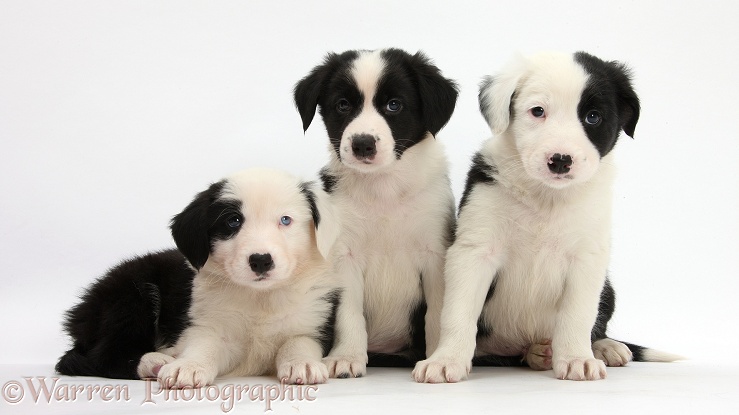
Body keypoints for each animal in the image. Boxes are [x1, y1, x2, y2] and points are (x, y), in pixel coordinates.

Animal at [58, 167, 342, 386]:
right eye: (233, 221)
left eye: (285, 220)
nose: (261, 260)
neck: (260, 298)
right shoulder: (207, 324)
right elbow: (204, 344)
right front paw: (189, 366)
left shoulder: (315, 322)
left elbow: (298, 342)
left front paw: (301, 364)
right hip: (130, 297)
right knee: (103, 355)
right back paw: (155, 362)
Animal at [294, 47, 456, 378]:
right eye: (343, 105)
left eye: (394, 105)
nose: (362, 144)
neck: (384, 188)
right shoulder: (344, 257)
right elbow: (349, 314)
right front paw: (346, 357)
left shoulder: (435, 255)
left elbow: (436, 314)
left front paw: (436, 357)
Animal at [414, 51, 680, 384]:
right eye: (538, 111)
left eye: (593, 117)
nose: (561, 161)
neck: (546, 197)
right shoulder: (475, 251)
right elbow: (457, 312)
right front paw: (445, 360)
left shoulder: (587, 258)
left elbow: (578, 315)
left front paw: (578, 359)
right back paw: (539, 354)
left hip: (608, 289)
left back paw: (603, 347)